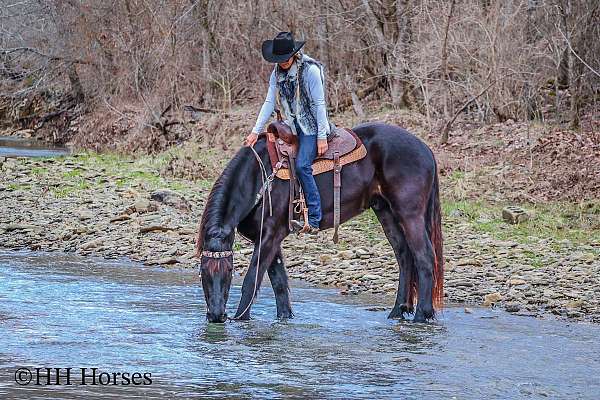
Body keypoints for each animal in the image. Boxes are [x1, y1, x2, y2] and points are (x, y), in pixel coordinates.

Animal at [195, 121, 442, 322]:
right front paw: (284, 318)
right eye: (203, 271)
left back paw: (422, 315)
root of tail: (426, 150)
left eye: (229, 271)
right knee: (405, 257)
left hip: (410, 214)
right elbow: (279, 281)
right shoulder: (267, 238)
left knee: (424, 257)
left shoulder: (270, 234)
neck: (260, 177)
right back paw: (397, 311)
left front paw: (240, 318)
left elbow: (251, 280)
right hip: (386, 212)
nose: (216, 316)